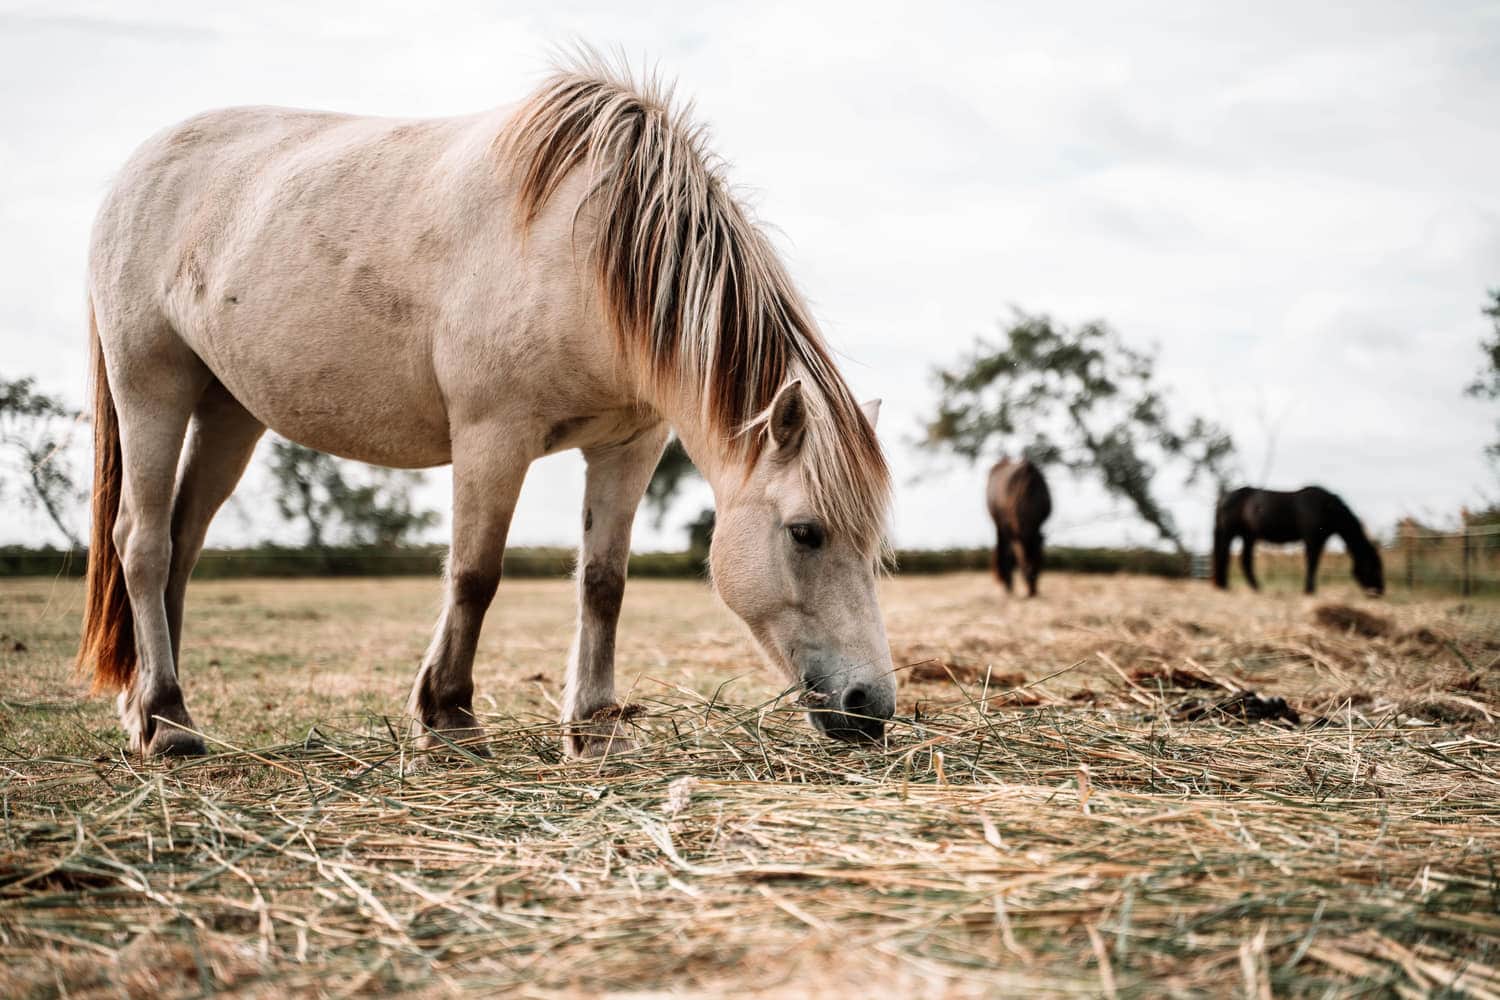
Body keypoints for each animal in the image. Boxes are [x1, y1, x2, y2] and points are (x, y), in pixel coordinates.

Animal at [75, 59, 896, 758]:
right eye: (805, 533)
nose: (873, 707)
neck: (590, 253)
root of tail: (136, 171)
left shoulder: (630, 446)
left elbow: (604, 582)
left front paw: (596, 727)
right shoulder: (493, 436)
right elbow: (475, 574)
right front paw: (449, 716)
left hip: (229, 412)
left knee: (182, 539)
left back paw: (151, 709)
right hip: (152, 387)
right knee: (143, 542)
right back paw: (170, 725)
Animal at [1212, 486, 1384, 596]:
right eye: (1374, 568)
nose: (1380, 591)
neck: (1325, 507)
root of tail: (1224, 497)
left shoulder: (1320, 540)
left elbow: (1314, 563)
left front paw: (1310, 589)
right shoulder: (1312, 538)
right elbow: (1312, 562)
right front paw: (1309, 590)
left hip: (1248, 535)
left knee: (1245, 561)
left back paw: (1256, 588)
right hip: (1230, 532)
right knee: (1224, 556)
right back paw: (1224, 586)